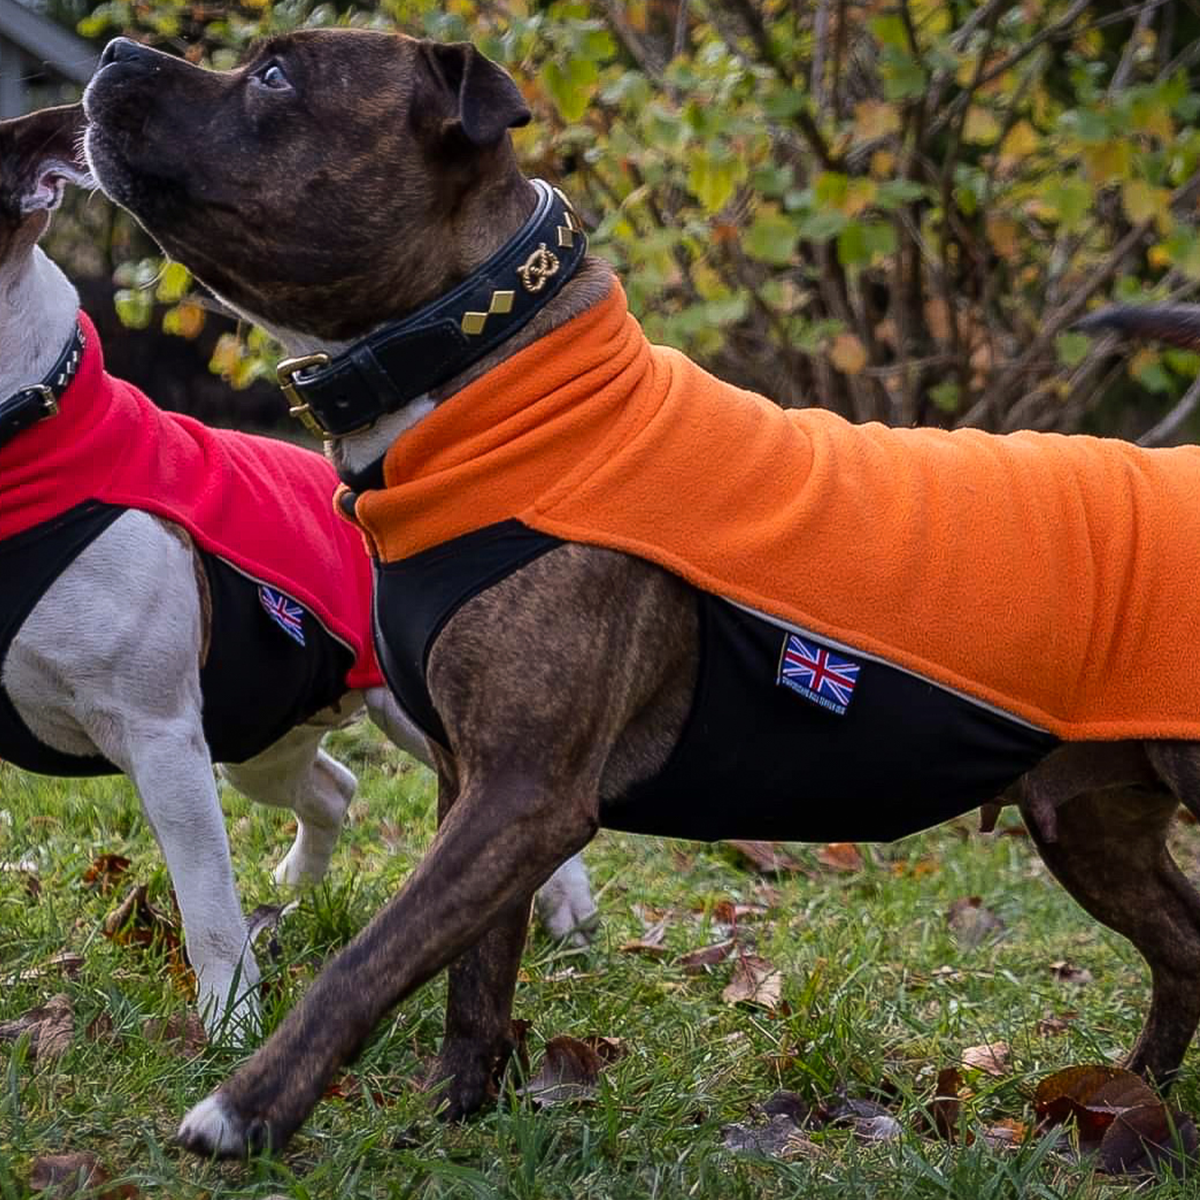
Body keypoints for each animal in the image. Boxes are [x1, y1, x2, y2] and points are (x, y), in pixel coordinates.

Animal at [1, 105, 595, 1032]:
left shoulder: (159, 735)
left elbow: (206, 903)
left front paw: (231, 1023)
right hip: (259, 740)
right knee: (332, 786)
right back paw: (296, 890)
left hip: (400, 713)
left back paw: (564, 906)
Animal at [87, 30, 1200, 1152]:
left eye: (275, 77)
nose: (116, 49)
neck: (485, 366)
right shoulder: (475, 782)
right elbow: (473, 980)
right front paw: (452, 1121)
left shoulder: (525, 795)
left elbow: (369, 962)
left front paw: (245, 1111)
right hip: (1089, 822)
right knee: (1185, 948)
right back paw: (1123, 1104)